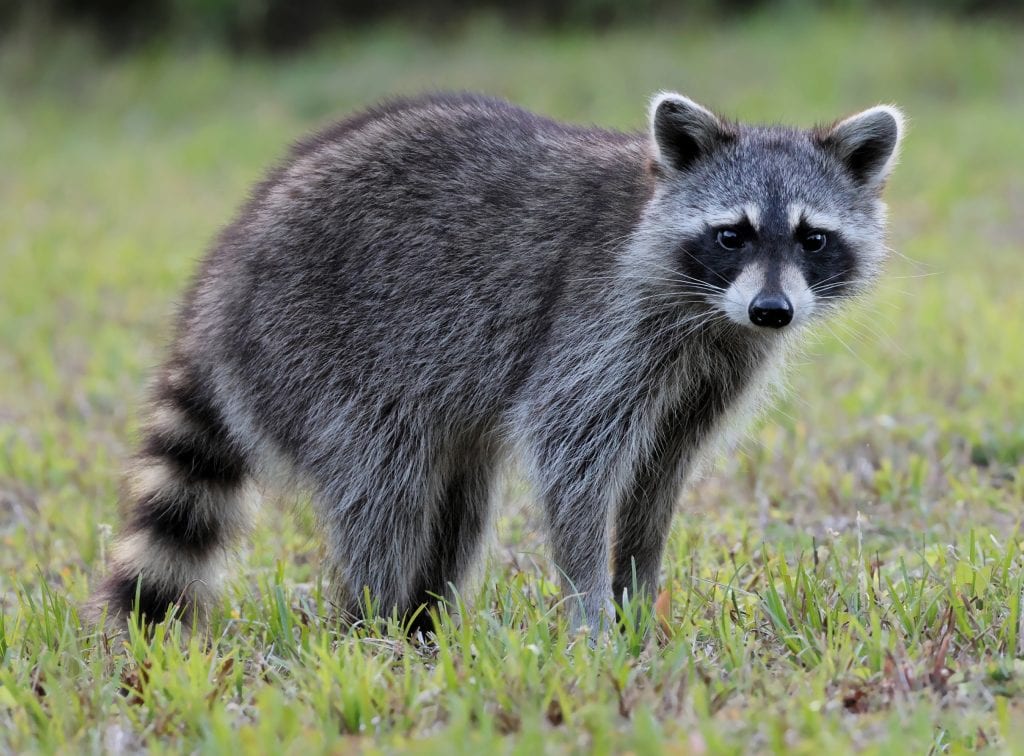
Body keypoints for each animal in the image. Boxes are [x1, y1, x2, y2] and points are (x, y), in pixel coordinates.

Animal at [87, 92, 904, 633]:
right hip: (316, 354)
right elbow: (573, 458)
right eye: (733, 234)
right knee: (383, 488)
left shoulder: (716, 365)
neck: (711, 309)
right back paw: (371, 622)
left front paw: (638, 592)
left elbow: (659, 478)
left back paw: (425, 620)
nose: (774, 311)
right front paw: (589, 611)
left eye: (813, 238)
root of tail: (219, 285)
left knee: (458, 501)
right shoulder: (601, 323)